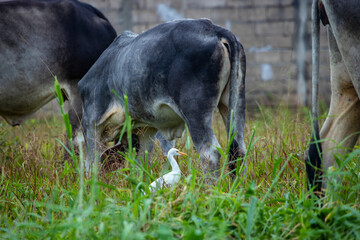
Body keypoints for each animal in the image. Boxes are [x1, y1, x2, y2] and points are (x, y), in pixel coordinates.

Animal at [79, 18, 248, 176]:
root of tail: (214, 29)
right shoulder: (146, 128)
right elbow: (141, 164)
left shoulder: (91, 122)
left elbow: (91, 165)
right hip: (233, 104)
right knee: (239, 149)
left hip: (196, 112)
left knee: (209, 153)